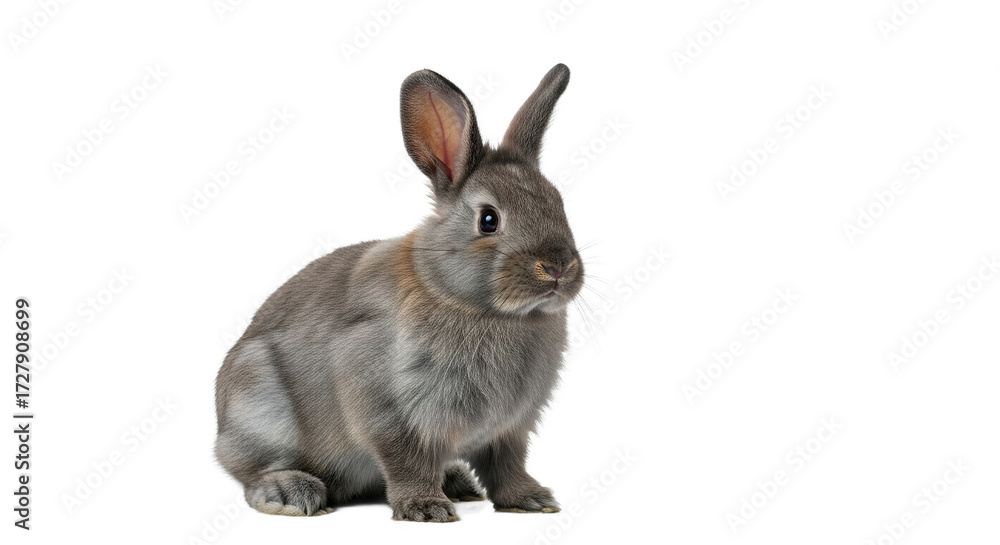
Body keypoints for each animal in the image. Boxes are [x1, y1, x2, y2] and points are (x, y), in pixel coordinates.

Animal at [215, 63, 583, 522]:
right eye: (489, 219)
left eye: (559, 204)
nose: (558, 268)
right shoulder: (386, 406)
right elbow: (404, 459)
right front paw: (426, 509)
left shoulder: (508, 429)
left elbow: (507, 465)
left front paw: (531, 500)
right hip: (259, 403)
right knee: (251, 469)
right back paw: (290, 493)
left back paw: (457, 483)